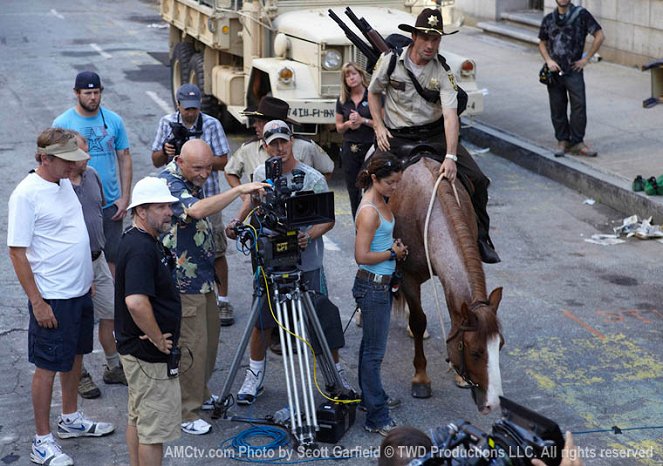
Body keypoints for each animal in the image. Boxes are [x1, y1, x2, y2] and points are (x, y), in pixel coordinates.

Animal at [392, 157, 506, 416]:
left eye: (500, 346)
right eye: (475, 352)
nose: (493, 403)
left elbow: (455, 317)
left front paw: (460, 376)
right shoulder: (408, 277)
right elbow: (419, 319)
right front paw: (421, 378)